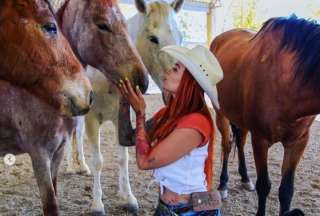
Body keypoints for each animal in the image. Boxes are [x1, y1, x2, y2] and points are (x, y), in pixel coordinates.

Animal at [64, 0, 182, 214]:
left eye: (181, 37)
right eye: (153, 38)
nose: (175, 89)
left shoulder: (122, 119)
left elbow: (123, 159)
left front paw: (127, 198)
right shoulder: (92, 119)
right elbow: (98, 161)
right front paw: (97, 204)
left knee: (78, 134)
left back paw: (82, 166)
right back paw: (70, 167)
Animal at [210, 15, 320, 216]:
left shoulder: (298, 142)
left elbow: (286, 190)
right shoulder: (260, 140)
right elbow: (264, 186)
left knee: (240, 141)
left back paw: (245, 178)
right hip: (221, 114)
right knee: (227, 145)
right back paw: (223, 184)